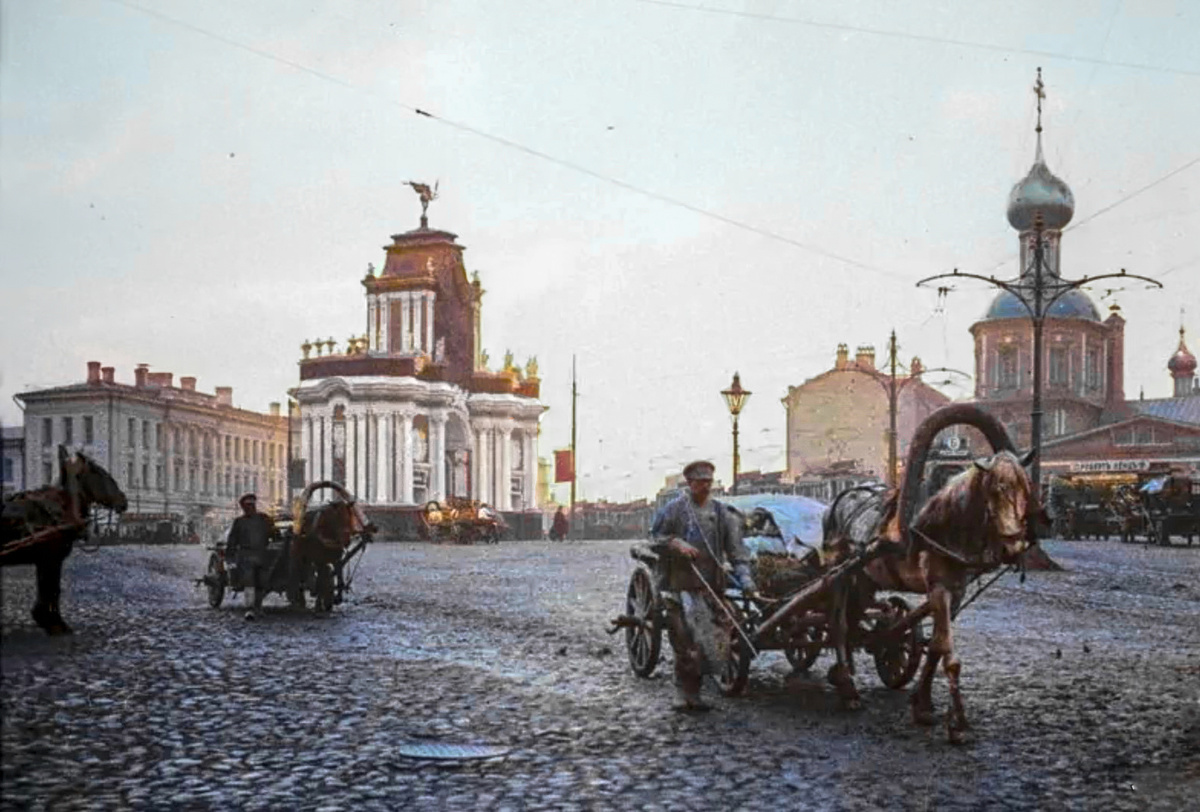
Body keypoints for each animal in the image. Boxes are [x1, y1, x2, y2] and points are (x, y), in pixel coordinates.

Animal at [0, 443, 129, 633]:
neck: (58, 510)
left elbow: (49, 588)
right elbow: (52, 588)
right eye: (102, 474)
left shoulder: (46, 560)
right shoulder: (51, 558)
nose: (124, 501)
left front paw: (45, 618)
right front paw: (54, 623)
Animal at [820, 403, 1046, 743]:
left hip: (865, 578)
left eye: (1025, 487)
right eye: (995, 489)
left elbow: (937, 648)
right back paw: (848, 688)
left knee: (855, 617)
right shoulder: (938, 588)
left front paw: (922, 704)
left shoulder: (957, 592)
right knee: (839, 625)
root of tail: (837, 503)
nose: (1013, 546)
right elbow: (950, 656)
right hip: (840, 573)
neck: (944, 526)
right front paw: (958, 724)